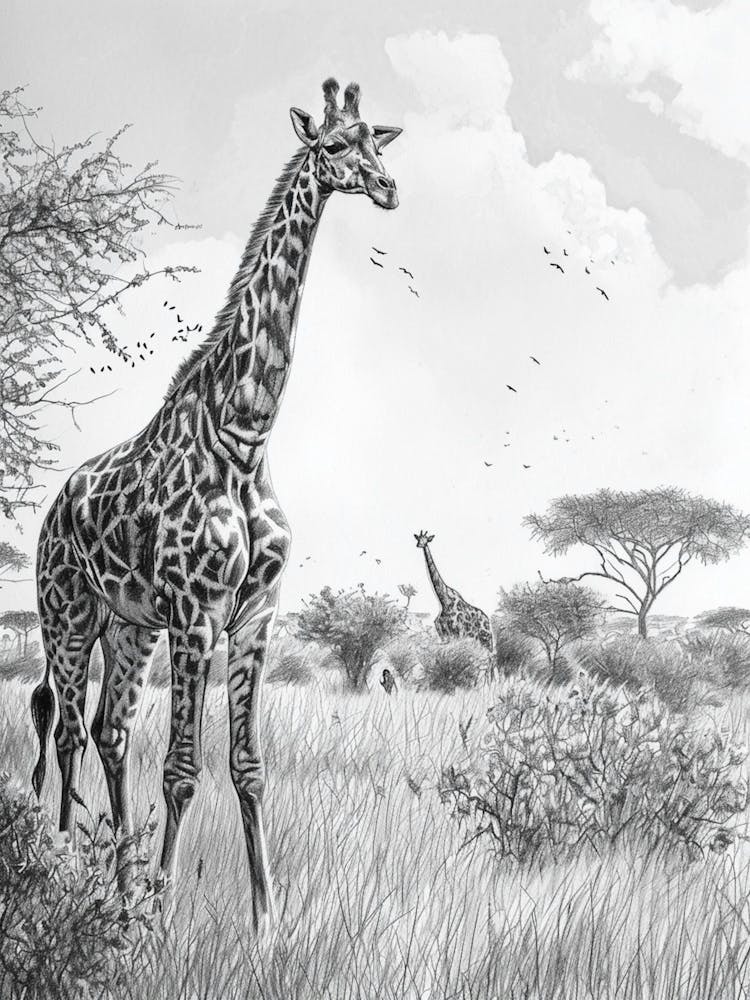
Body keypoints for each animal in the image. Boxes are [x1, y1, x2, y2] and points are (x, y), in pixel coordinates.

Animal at [30, 77, 402, 936]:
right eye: (334, 145)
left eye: (379, 141)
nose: (389, 188)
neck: (247, 436)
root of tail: (54, 504)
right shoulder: (196, 611)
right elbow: (183, 768)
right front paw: (165, 913)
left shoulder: (254, 613)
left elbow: (248, 766)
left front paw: (266, 921)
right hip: (69, 614)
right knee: (68, 729)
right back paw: (65, 864)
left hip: (128, 625)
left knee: (110, 732)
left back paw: (118, 885)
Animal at [414, 531, 495, 666]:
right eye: (418, 539)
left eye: (426, 539)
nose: (419, 544)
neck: (443, 601)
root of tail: (488, 621)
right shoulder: (444, 634)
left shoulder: (459, 633)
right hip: (478, 639)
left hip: (486, 638)